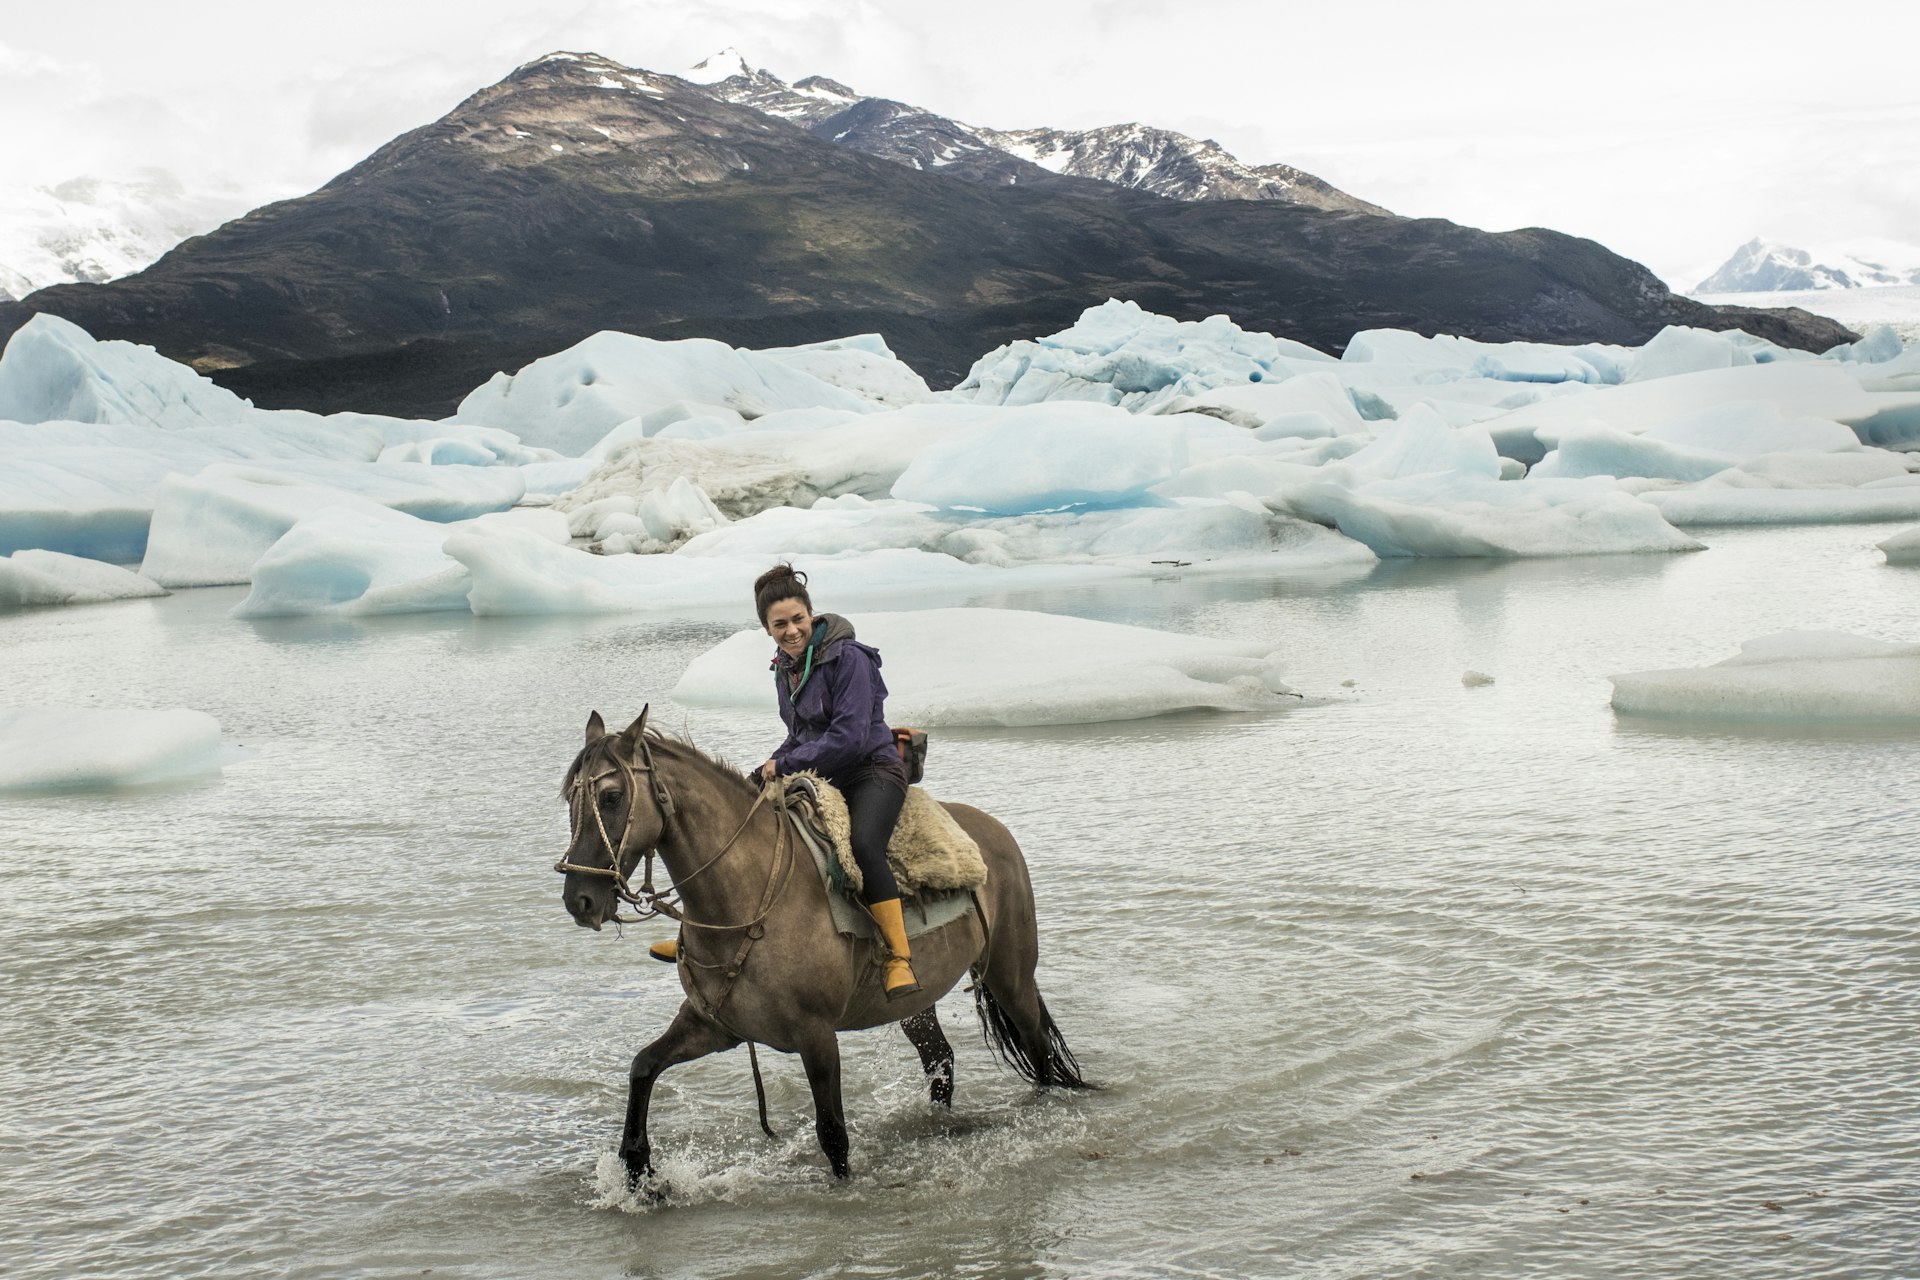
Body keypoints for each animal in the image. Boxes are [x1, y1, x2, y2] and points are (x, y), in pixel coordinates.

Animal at [556, 706, 1098, 1189]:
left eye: (611, 796)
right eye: (569, 799)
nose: (579, 899)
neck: (749, 896)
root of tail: (995, 833)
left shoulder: (816, 1036)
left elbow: (833, 1133)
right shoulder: (715, 1026)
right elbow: (643, 1067)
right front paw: (637, 1169)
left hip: (1009, 973)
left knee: (1037, 1047)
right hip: (917, 1004)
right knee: (941, 1060)